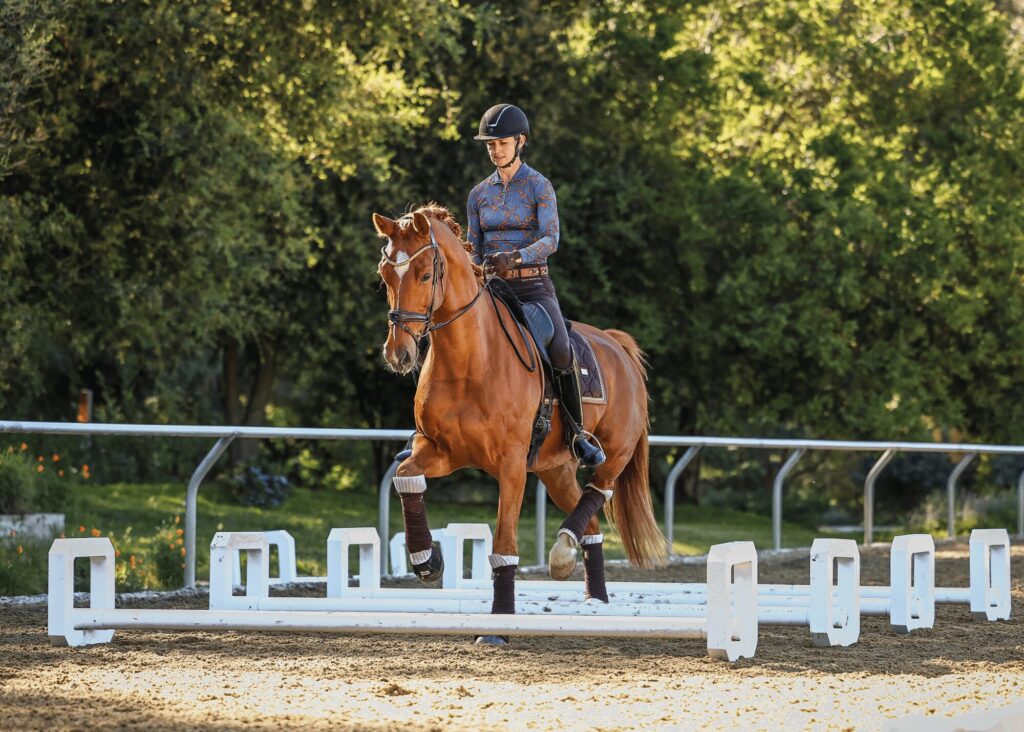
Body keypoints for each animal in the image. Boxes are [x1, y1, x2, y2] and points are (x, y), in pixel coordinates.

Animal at [373, 205, 666, 637]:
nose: (399, 354)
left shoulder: (510, 465)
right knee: (591, 523)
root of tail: (617, 344)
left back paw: (562, 553)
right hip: (554, 470)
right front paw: (427, 559)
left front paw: (498, 624)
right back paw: (594, 596)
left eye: (425, 274)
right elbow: (406, 477)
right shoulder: (440, 450)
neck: (469, 361)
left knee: (600, 490)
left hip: (613, 453)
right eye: (385, 275)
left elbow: (504, 547)